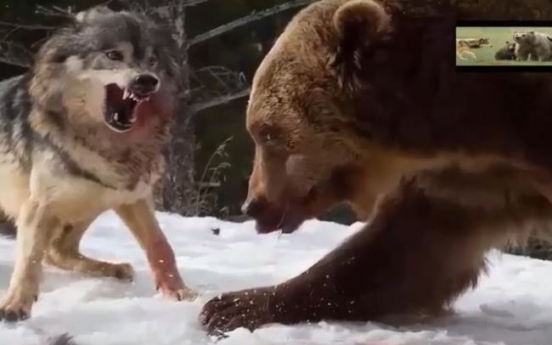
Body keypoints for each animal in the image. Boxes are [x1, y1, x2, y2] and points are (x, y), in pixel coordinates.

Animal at [0, 5, 196, 322]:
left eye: (152, 61)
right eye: (114, 55)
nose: (146, 80)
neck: (107, 146)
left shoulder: (134, 197)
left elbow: (161, 245)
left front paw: (179, 292)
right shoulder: (39, 205)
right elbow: (29, 260)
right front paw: (15, 305)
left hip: (93, 202)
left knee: (58, 251)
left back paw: (115, 269)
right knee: (52, 252)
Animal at [198, 0, 552, 334]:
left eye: (268, 133)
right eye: (258, 130)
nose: (253, 204)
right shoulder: (473, 184)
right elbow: (405, 251)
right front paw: (234, 304)